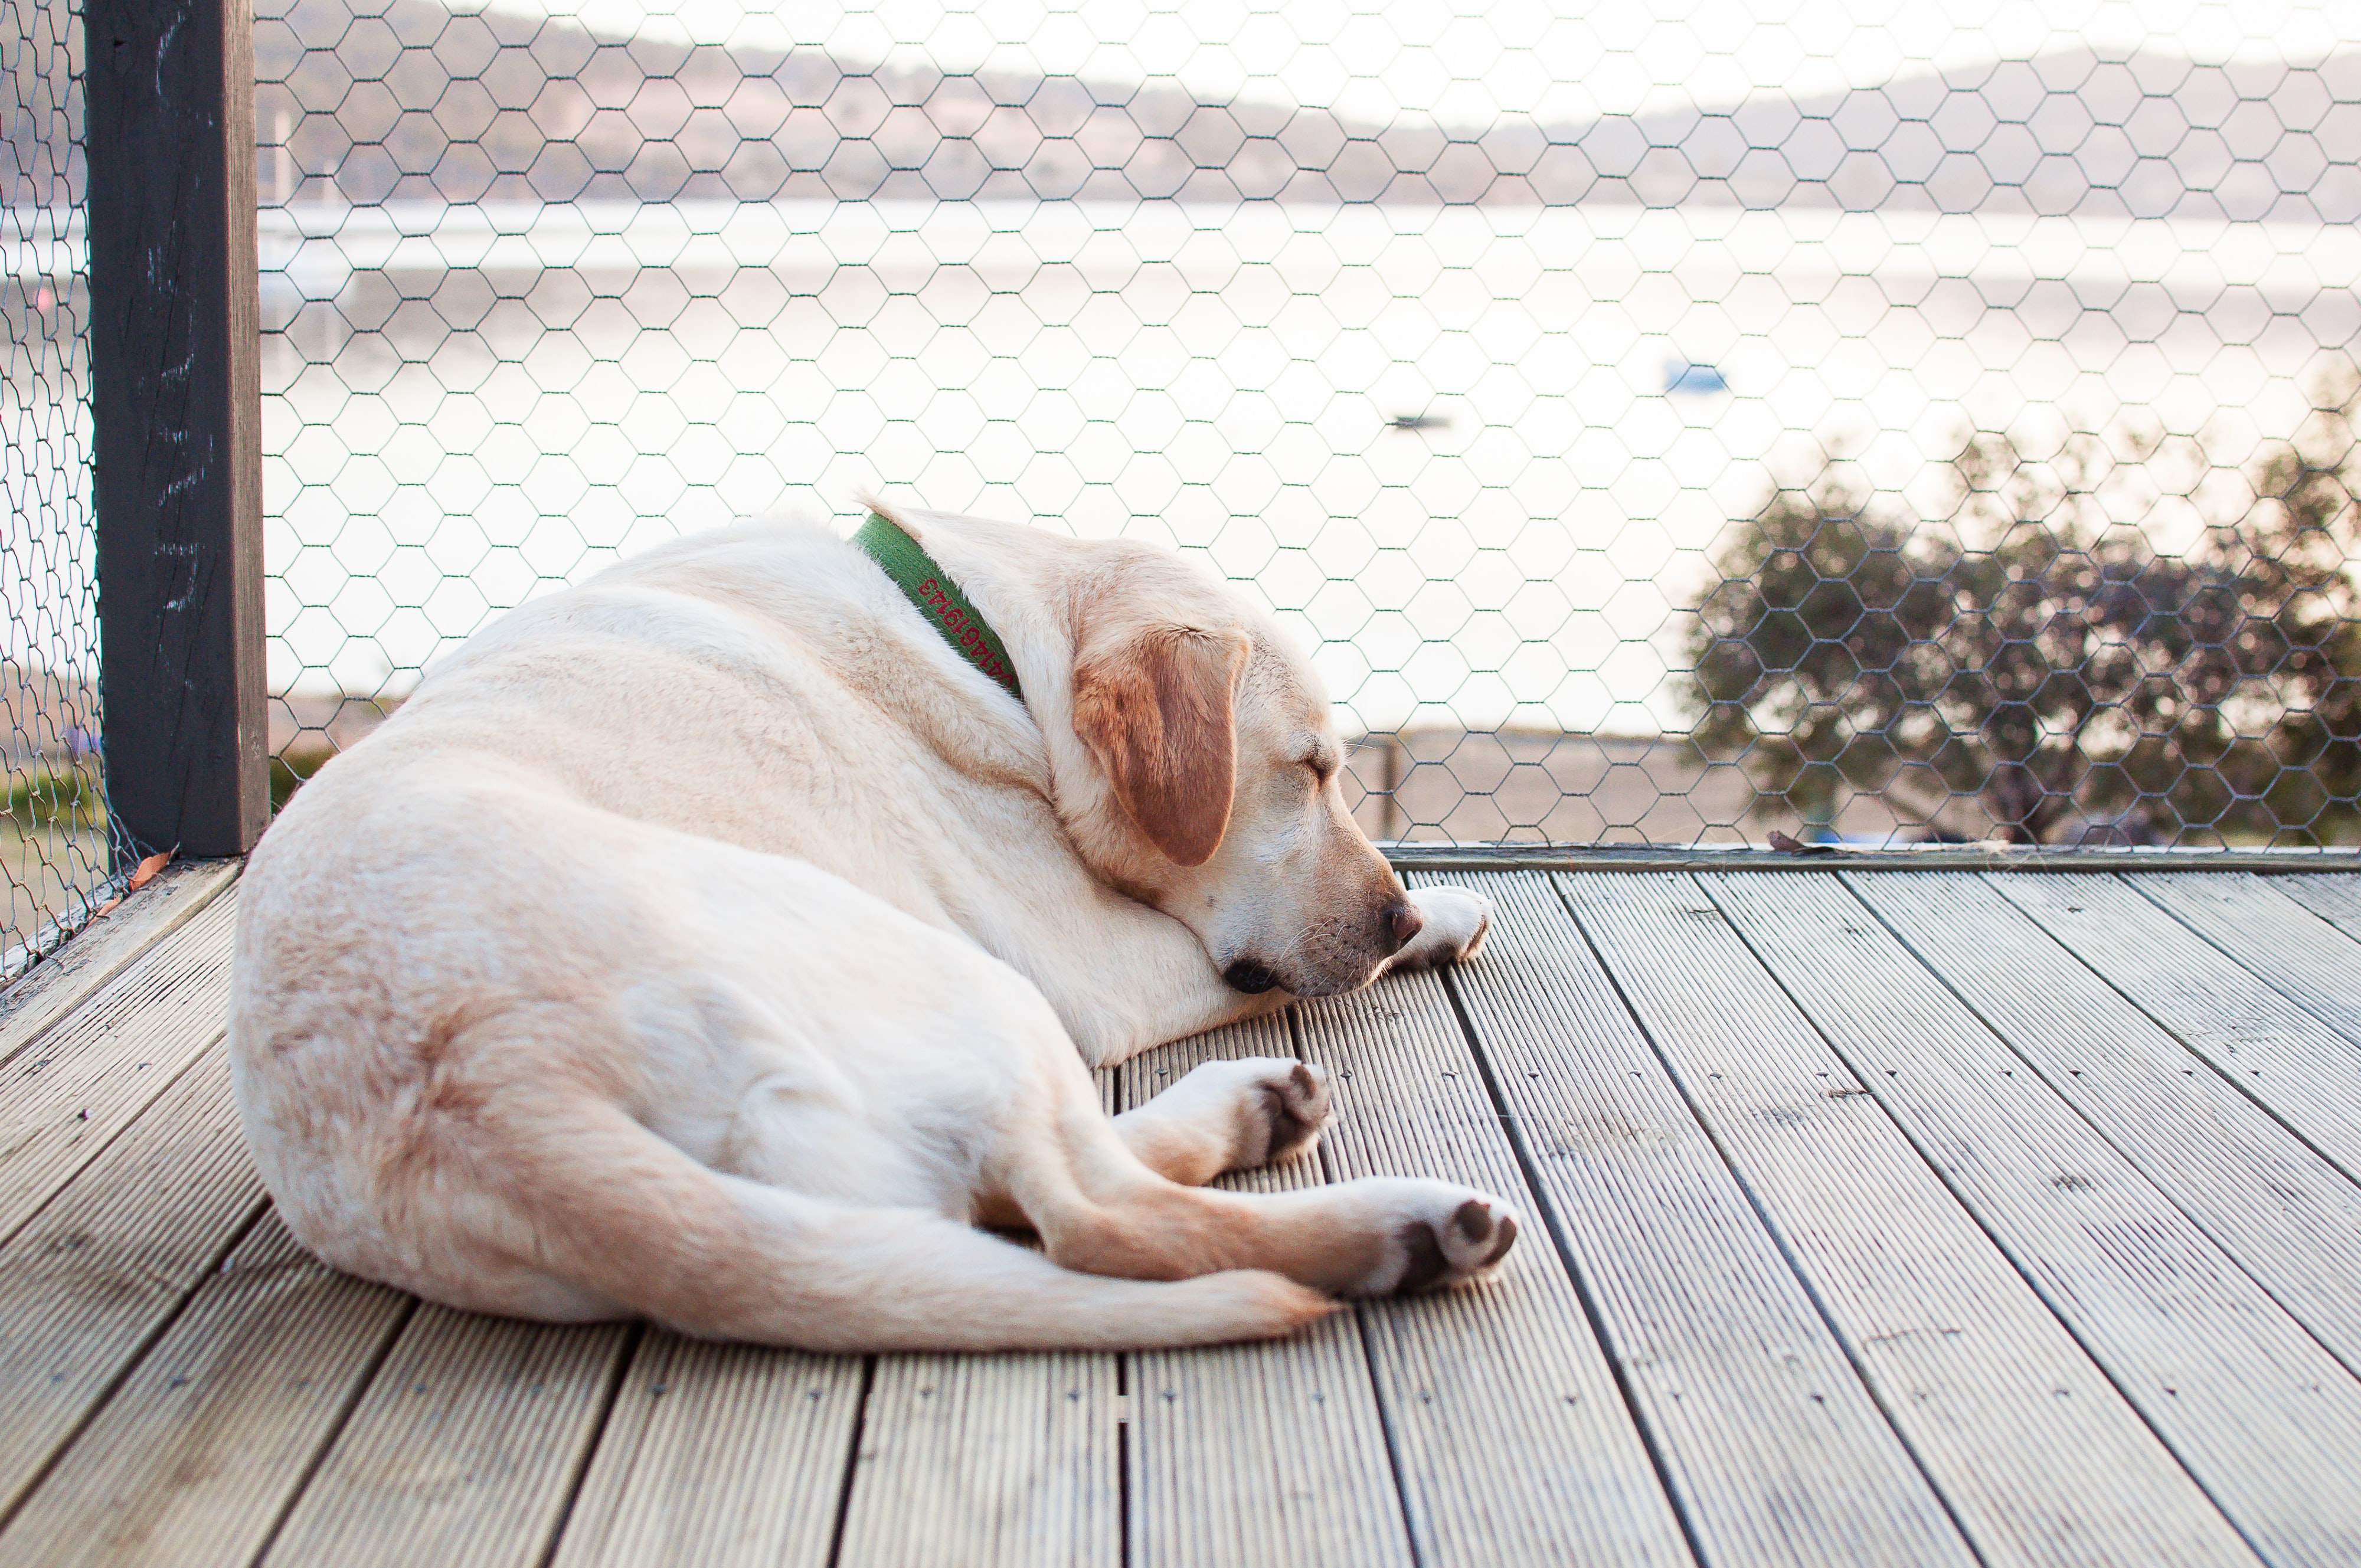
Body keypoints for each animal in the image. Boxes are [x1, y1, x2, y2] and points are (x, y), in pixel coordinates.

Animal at [235, 503, 1511, 1350]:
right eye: (1310, 770)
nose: (1392, 910)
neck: (982, 646)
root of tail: (492, 1088)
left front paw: (1435, 909)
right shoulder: (1094, 963)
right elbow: (1267, 972)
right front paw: (1426, 919)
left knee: (999, 1194)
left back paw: (1256, 1112)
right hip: (966, 982)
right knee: (1100, 1219)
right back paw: (1404, 1225)